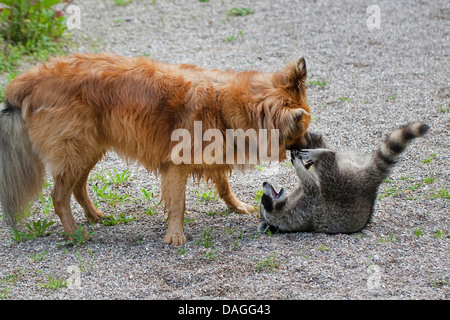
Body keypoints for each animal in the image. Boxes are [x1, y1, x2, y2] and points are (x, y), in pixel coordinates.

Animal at [0, 52, 310, 245]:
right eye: (302, 130)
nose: (309, 148)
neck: (227, 105)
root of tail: (27, 80)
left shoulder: (211, 155)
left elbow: (224, 186)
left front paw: (237, 206)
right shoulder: (176, 166)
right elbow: (178, 204)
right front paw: (175, 235)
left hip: (88, 150)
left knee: (77, 187)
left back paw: (94, 216)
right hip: (75, 151)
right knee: (58, 196)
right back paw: (74, 233)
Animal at [256, 121, 428, 234]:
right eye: (264, 200)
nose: (264, 182)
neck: (283, 205)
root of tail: (370, 187)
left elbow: (306, 185)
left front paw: (304, 166)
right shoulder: (300, 213)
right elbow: (312, 189)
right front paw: (298, 165)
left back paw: (312, 138)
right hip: (341, 184)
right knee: (328, 166)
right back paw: (323, 153)